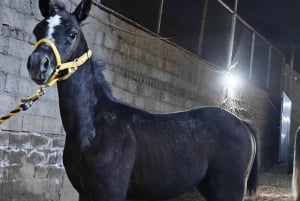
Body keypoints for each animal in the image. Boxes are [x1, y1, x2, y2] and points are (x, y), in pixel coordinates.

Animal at [26, 0, 258, 200]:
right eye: (37, 29)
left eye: (72, 34)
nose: (38, 64)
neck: (95, 126)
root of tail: (243, 124)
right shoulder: (85, 193)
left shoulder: (110, 194)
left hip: (229, 190)